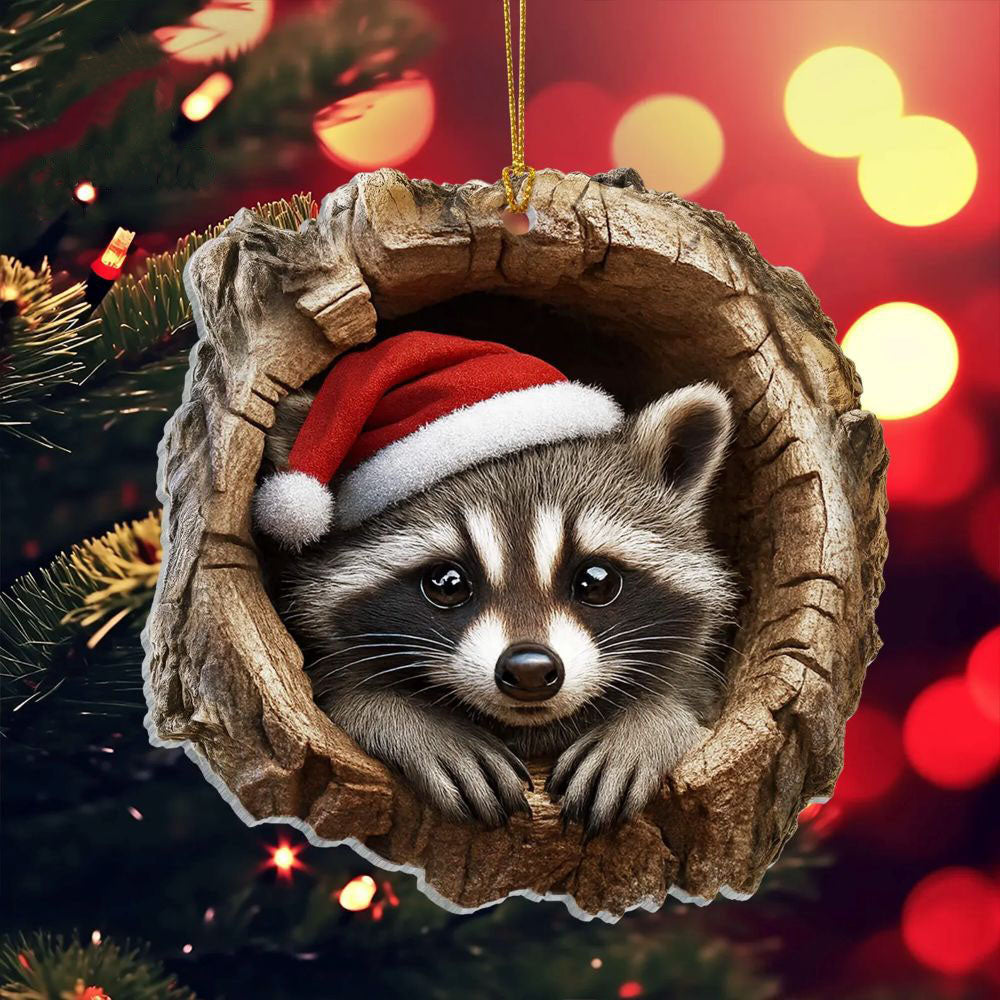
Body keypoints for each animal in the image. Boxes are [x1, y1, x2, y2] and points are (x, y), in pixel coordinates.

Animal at [262, 381, 736, 837]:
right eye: (447, 583)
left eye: (596, 581)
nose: (530, 671)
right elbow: (340, 698)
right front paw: (411, 722)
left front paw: (648, 724)